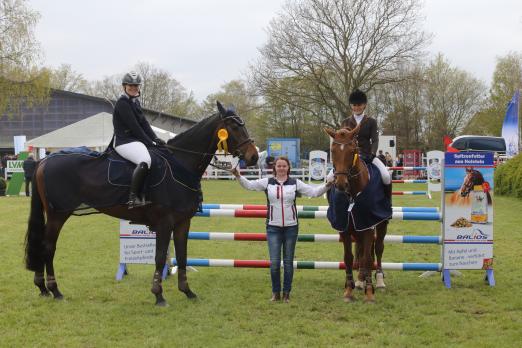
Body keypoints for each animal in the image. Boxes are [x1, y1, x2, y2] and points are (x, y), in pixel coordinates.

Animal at [25, 100, 256, 304]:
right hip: (58, 214)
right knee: (48, 247)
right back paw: (55, 290)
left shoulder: (183, 222)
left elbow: (182, 256)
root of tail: (44, 160)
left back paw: (43, 287)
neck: (179, 164)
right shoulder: (164, 222)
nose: (253, 157)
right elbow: (160, 257)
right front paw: (158, 295)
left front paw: (188, 292)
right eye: (234, 126)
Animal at [322, 125, 388, 302]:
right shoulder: (345, 227)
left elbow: (367, 258)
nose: (340, 184)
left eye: (352, 150)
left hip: (381, 223)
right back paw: (360, 281)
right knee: (361, 249)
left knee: (378, 248)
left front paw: (370, 293)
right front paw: (348, 290)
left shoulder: (368, 224)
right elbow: (349, 257)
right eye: (332, 150)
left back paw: (379, 280)